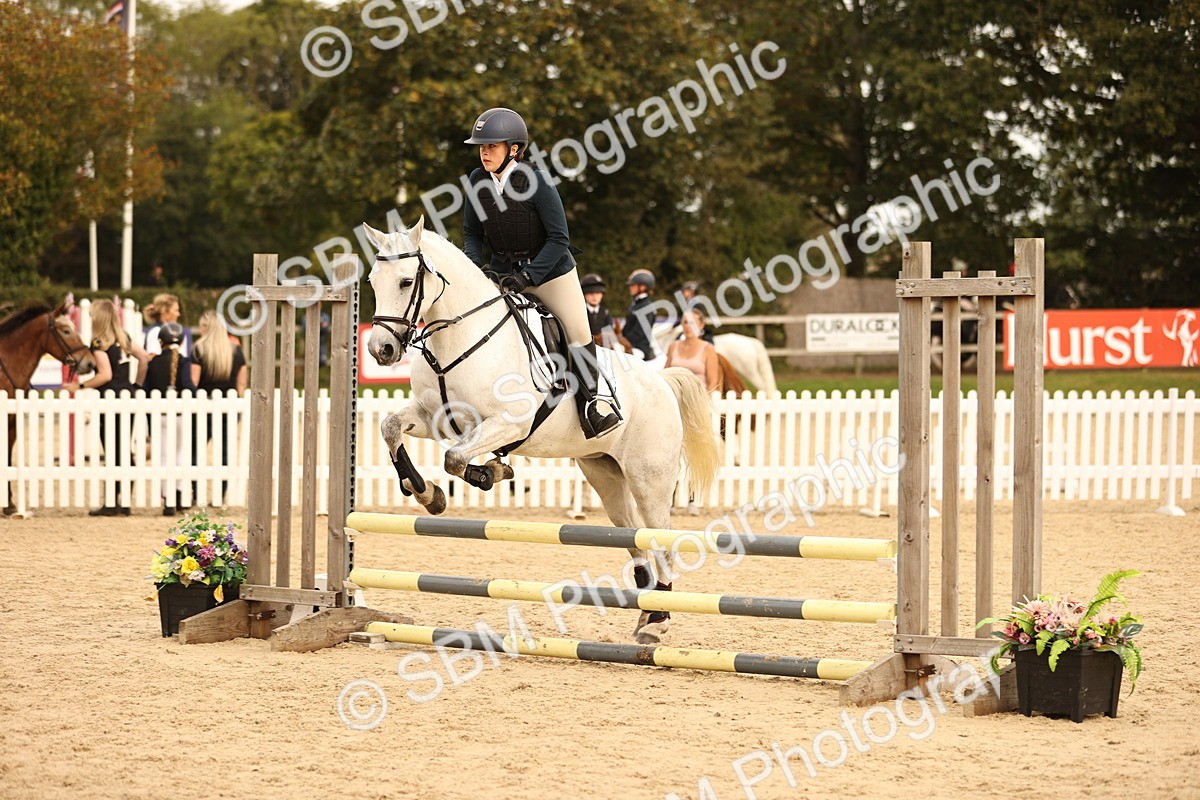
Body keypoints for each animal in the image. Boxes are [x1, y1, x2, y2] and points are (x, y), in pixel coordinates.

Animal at [362, 218, 720, 644]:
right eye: (372, 280)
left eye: (404, 282)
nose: (381, 350)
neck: (460, 338)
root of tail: (661, 380)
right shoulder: (435, 416)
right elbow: (391, 428)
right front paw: (427, 494)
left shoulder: (508, 422)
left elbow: (455, 458)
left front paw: (491, 472)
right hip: (603, 472)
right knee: (631, 533)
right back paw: (646, 610)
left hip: (649, 478)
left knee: (660, 539)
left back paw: (658, 621)